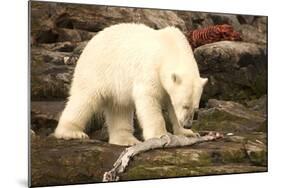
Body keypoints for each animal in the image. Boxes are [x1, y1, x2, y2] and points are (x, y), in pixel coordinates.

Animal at [54, 23, 208, 146]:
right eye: (185, 105)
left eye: (195, 108)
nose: (187, 123)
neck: (170, 46)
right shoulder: (150, 69)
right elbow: (148, 98)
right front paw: (160, 135)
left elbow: (171, 105)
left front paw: (188, 132)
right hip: (97, 70)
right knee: (84, 99)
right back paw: (72, 132)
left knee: (119, 108)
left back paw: (127, 140)